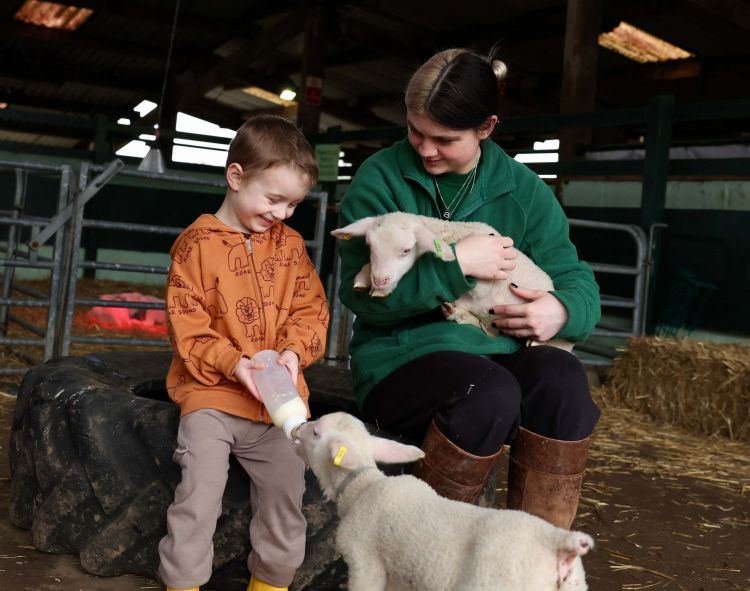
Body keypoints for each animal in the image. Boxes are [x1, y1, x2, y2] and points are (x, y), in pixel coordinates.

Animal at [294, 412, 592, 591]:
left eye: (316, 432)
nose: (299, 427)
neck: (362, 486)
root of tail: (560, 543)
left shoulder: (365, 562)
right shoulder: (399, 575)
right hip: (575, 585)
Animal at [332, 213, 572, 352]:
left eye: (406, 250)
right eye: (369, 246)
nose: (380, 280)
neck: (452, 232)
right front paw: (363, 279)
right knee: (491, 332)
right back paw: (457, 313)